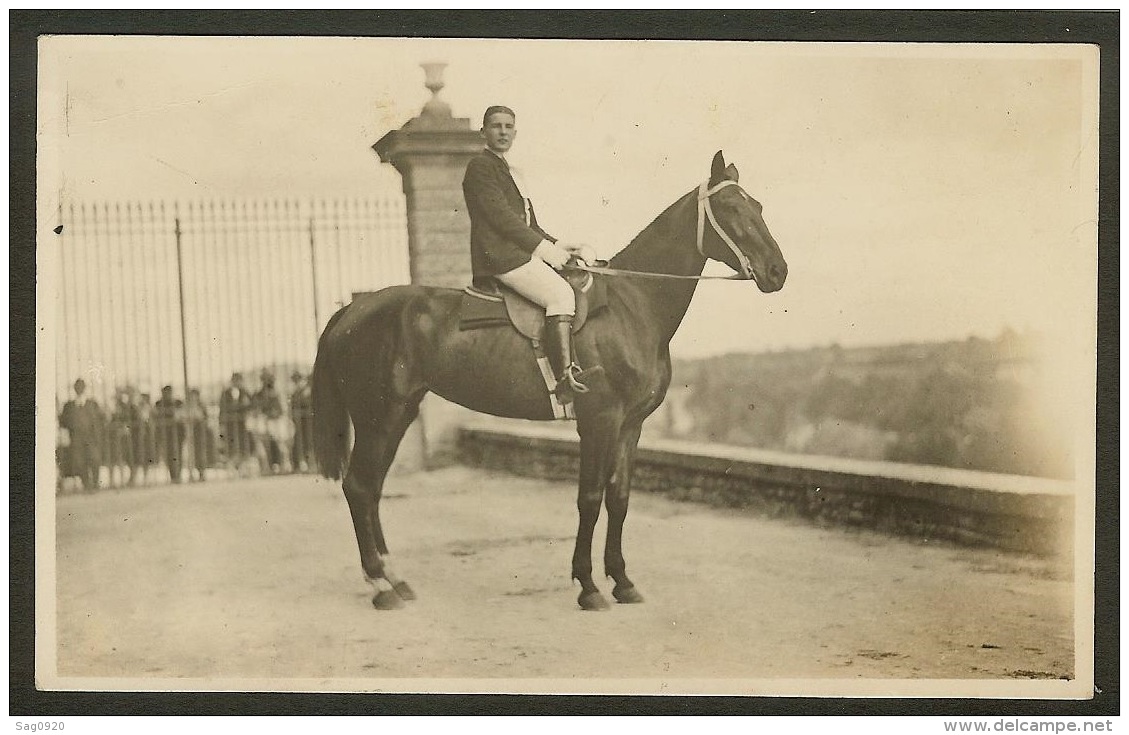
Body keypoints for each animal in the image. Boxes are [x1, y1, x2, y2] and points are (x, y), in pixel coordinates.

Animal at [309, 149, 785, 609]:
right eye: (731, 207)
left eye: (758, 206)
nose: (778, 271)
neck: (632, 304)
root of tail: (353, 308)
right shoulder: (599, 421)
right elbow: (589, 498)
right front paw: (588, 585)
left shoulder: (630, 426)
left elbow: (619, 498)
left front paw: (622, 581)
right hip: (378, 416)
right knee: (359, 487)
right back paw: (380, 586)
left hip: (398, 414)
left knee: (371, 489)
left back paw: (394, 579)